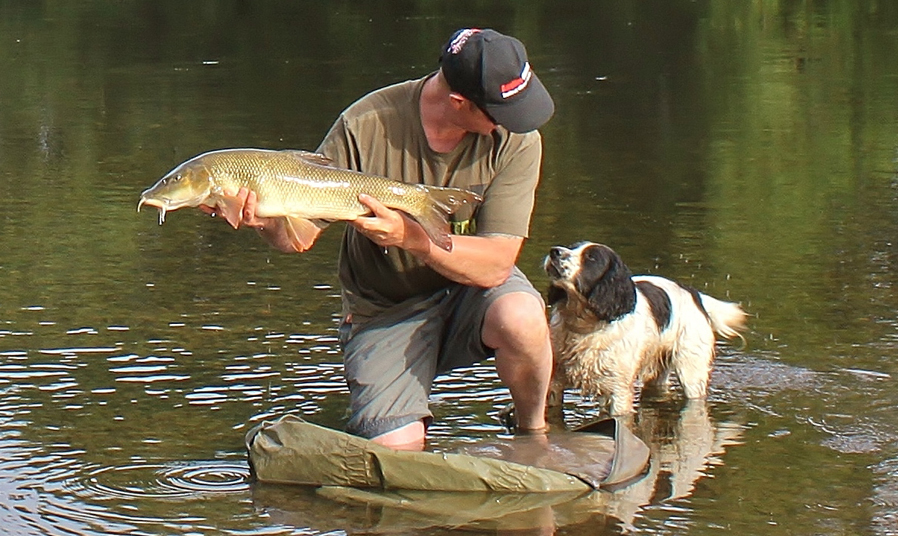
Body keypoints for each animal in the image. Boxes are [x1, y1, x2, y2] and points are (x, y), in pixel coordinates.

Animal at [544, 242, 744, 414]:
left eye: (591, 257)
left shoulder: (619, 390)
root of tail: (694, 294)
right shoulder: (554, 382)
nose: (554, 251)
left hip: (691, 373)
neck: (585, 325)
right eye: (572, 247)